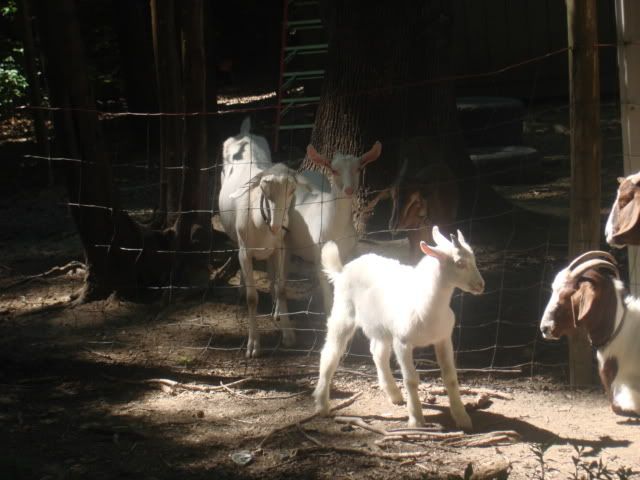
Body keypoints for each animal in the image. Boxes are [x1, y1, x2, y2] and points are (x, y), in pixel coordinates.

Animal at [219, 119, 307, 357]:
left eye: (292, 189)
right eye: (264, 188)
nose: (278, 225)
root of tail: (245, 132)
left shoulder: (279, 247)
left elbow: (282, 288)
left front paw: (288, 334)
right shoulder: (245, 250)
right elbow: (252, 298)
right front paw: (253, 345)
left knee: (273, 275)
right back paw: (241, 288)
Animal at [286, 141, 382, 315]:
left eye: (358, 169)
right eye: (334, 170)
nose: (349, 189)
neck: (336, 229)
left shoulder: (350, 252)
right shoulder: (320, 253)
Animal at [313, 226, 485, 429]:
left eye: (473, 258)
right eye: (460, 263)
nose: (481, 285)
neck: (426, 304)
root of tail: (342, 271)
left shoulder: (443, 338)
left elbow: (450, 377)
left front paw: (462, 417)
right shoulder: (402, 342)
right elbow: (411, 379)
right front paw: (416, 420)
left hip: (381, 327)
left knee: (377, 353)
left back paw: (394, 394)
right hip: (343, 313)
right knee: (330, 354)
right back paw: (322, 405)